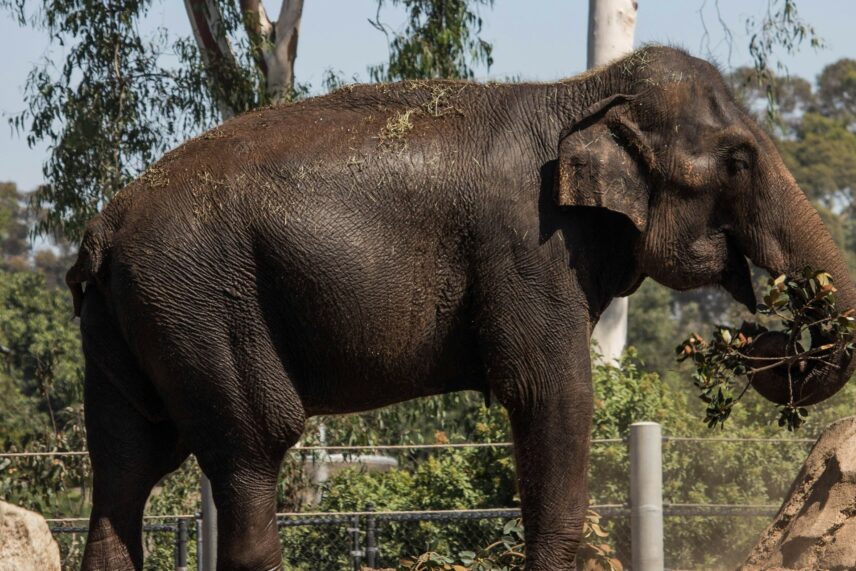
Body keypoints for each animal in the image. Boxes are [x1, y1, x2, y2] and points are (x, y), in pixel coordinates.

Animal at [67, 45, 855, 570]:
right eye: (739, 161)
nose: (756, 333)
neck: (579, 92)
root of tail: (101, 229)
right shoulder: (528, 245)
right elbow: (553, 393)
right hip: (203, 303)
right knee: (254, 448)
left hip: (131, 322)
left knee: (126, 467)